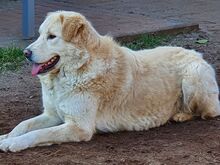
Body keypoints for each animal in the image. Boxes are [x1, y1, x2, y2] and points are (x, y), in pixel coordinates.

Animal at [0, 10, 219, 152]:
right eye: (39, 35)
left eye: (51, 36)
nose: (25, 53)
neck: (76, 68)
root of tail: (197, 53)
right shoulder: (52, 114)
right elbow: (23, 125)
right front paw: (6, 137)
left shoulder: (79, 127)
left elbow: (38, 134)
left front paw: (13, 144)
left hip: (193, 77)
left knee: (209, 111)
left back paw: (181, 114)